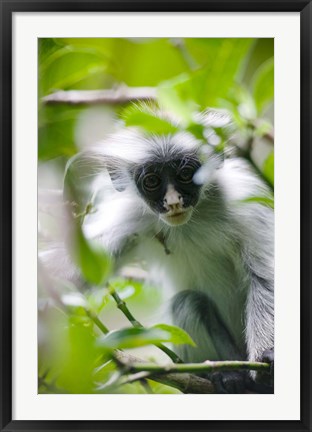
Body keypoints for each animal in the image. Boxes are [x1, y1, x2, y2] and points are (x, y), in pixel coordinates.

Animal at [40, 109, 274, 394]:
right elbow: (79, 268)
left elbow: (264, 278)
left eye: (185, 174)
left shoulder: (245, 206)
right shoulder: (131, 216)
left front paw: (267, 357)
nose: (173, 202)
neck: (189, 224)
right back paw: (229, 375)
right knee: (188, 302)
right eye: (152, 180)